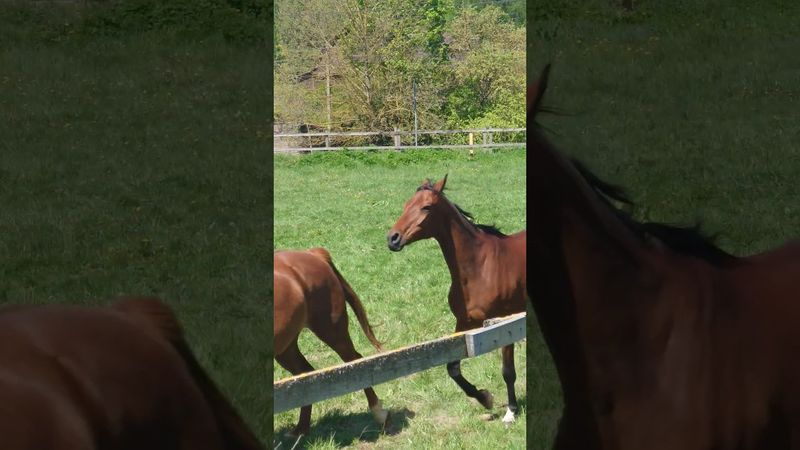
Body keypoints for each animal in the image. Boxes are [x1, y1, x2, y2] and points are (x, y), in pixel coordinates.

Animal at [273, 247, 388, 437]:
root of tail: (313, 254)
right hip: (286, 347)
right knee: (305, 374)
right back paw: (300, 430)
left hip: (332, 331)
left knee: (355, 361)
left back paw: (379, 413)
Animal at [387, 176, 527, 423]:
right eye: (406, 205)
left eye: (426, 207)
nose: (393, 239)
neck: (480, 267)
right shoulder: (465, 322)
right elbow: (452, 367)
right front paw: (484, 398)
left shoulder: (504, 324)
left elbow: (508, 371)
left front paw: (511, 411)